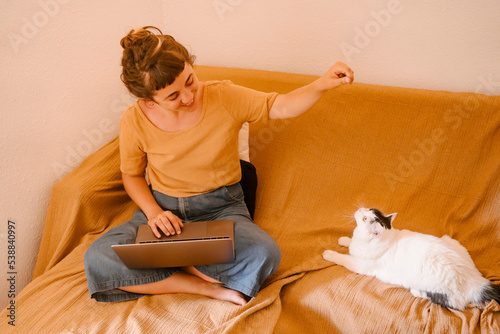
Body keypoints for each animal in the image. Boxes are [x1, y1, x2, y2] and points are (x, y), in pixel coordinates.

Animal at [322, 206, 498, 310]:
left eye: (365, 218)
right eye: (368, 209)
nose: (360, 209)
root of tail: (476, 280)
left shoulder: (359, 265)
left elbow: (342, 258)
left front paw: (328, 253)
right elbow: (350, 243)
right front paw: (344, 240)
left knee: (451, 302)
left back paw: (417, 291)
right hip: (451, 240)